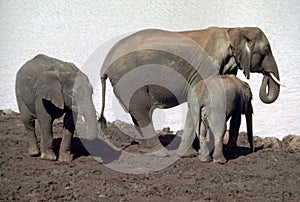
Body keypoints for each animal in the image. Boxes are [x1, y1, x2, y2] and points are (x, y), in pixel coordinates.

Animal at [99, 26, 282, 147]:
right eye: (266, 50)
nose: (266, 77)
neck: (233, 30)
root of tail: (104, 64)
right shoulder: (206, 68)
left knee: (136, 113)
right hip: (128, 78)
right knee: (141, 111)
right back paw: (160, 152)